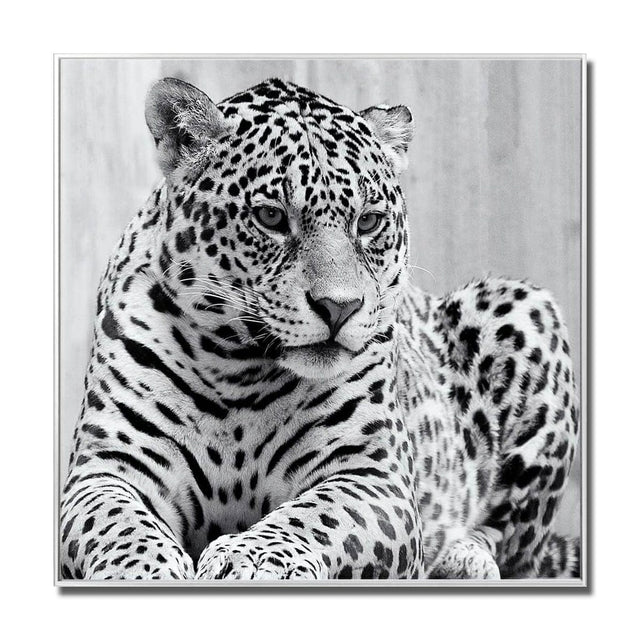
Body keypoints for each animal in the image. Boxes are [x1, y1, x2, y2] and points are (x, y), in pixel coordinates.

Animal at [60, 77, 580, 581]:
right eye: (271, 216)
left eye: (368, 222)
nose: (339, 307)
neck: (236, 370)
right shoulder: (107, 468)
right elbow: (118, 525)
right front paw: (145, 571)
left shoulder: (373, 474)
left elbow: (314, 516)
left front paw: (250, 558)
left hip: (524, 306)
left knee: (515, 546)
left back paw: (462, 558)